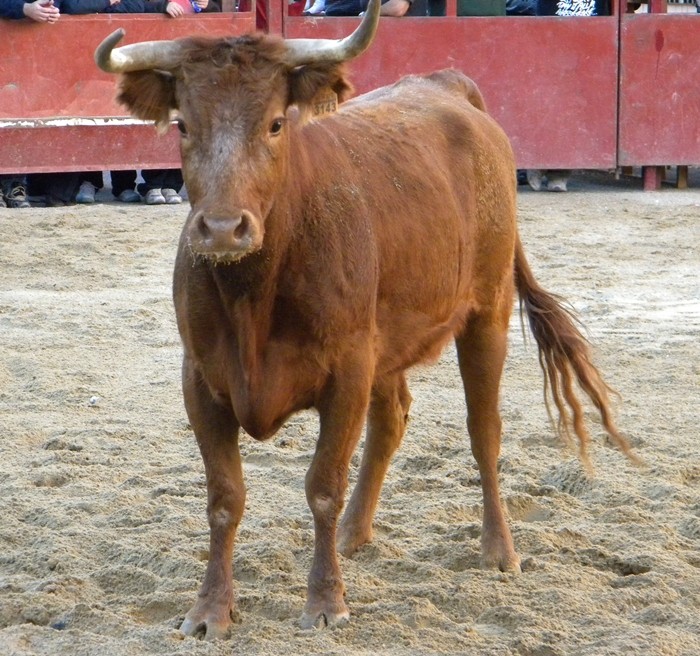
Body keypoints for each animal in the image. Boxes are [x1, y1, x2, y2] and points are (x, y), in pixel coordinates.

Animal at [97, 0, 636, 640]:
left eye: (275, 123)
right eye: (182, 125)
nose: (225, 230)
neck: (254, 293)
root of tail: (447, 85)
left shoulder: (346, 373)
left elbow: (323, 486)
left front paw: (325, 601)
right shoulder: (202, 381)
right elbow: (225, 497)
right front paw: (210, 611)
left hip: (487, 312)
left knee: (484, 430)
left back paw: (498, 550)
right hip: (390, 342)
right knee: (392, 419)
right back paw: (357, 533)